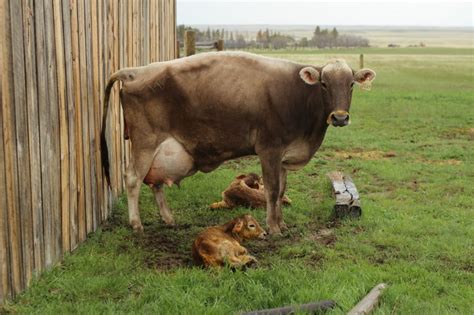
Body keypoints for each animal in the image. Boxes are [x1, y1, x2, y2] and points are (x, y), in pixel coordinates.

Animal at [102, 51, 376, 235]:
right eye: (323, 84)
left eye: (351, 84)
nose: (339, 117)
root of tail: (135, 71)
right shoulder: (269, 149)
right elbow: (272, 190)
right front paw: (273, 227)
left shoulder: (283, 157)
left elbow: (281, 191)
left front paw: (282, 223)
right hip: (145, 142)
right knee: (133, 178)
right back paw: (136, 224)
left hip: (160, 151)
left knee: (155, 182)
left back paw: (168, 218)